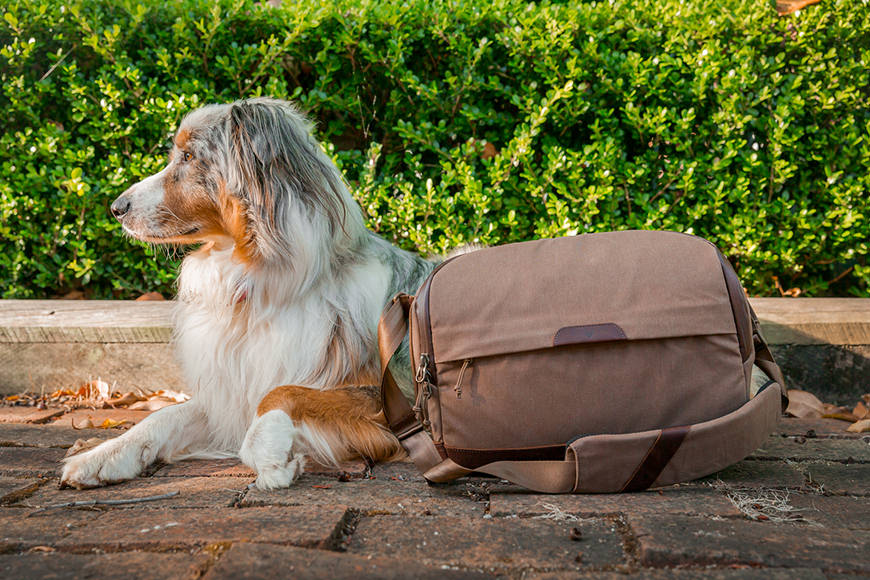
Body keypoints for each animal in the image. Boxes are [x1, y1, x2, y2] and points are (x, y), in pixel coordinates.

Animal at [62, 97, 440, 488]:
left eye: (188, 157)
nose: (116, 208)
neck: (256, 283)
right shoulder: (227, 397)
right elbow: (166, 414)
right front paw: (103, 455)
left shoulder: (393, 399)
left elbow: (280, 393)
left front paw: (269, 453)